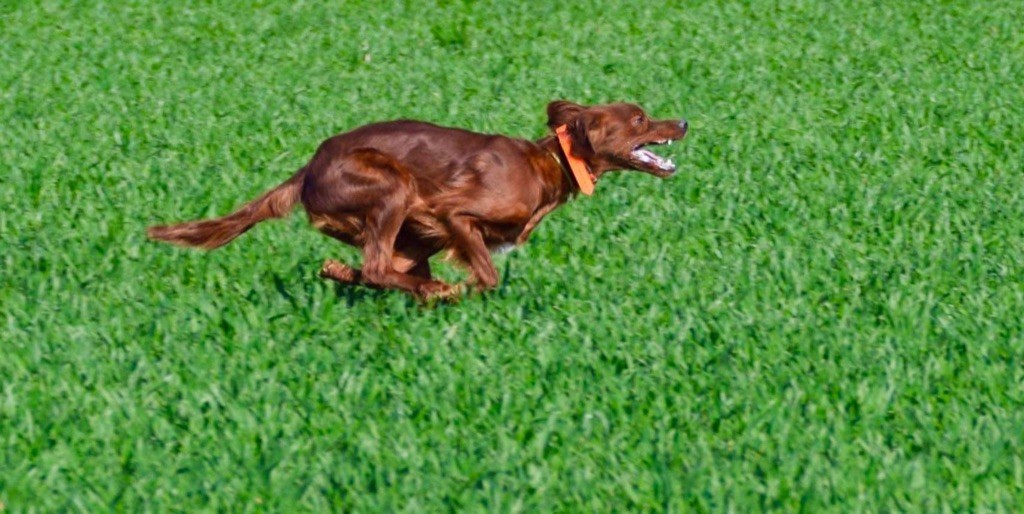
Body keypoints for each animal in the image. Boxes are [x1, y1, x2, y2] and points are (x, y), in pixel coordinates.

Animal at [146, 100, 688, 301]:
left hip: (404, 227)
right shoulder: (454, 214)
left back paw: (343, 272)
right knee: (379, 268)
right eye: (639, 119)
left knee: (376, 269)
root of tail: (309, 167)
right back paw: (434, 290)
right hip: (394, 186)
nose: (682, 122)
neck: (550, 163)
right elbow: (486, 276)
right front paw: (455, 291)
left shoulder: (427, 234)